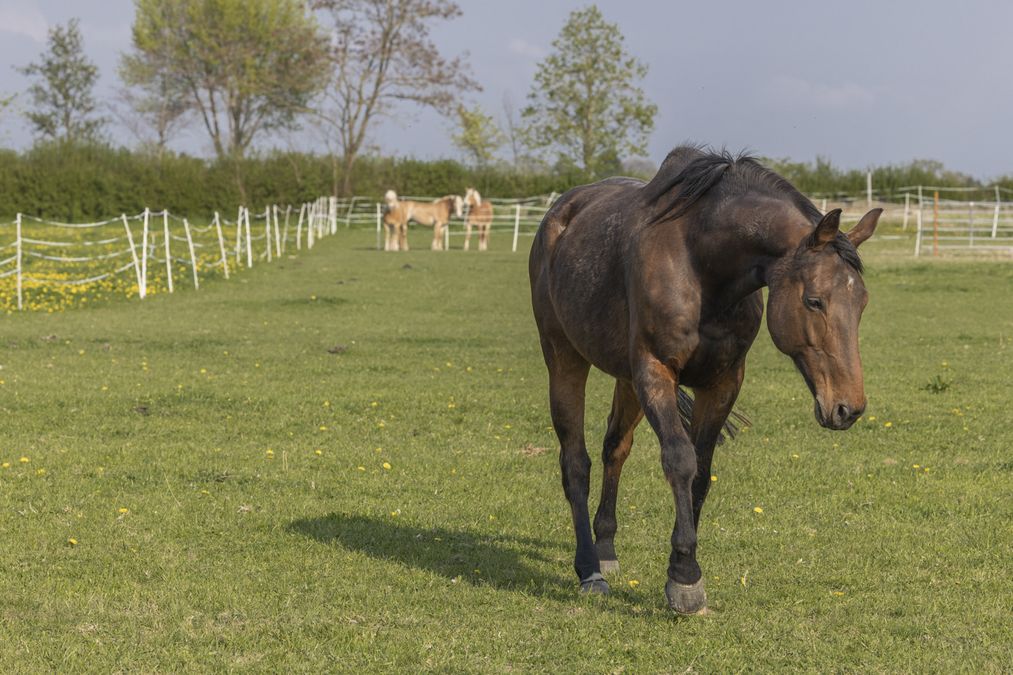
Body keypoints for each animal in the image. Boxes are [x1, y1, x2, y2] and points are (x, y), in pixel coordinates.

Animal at [530, 146, 879, 616]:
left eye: (861, 302)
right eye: (814, 300)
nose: (848, 407)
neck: (700, 265)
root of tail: (560, 213)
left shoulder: (722, 382)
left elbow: (701, 470)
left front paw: (681, 565)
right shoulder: (655, 371)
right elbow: (680, 460)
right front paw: (685, 581)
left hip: (625, 378)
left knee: (614, 450)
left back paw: (605, 549)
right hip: (565, 359)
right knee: (575, 462)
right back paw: (589, 569)